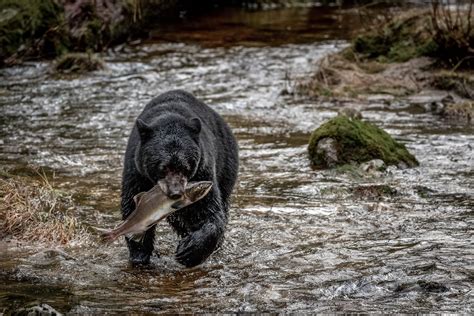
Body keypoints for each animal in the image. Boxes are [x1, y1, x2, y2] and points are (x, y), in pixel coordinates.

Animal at [120, 89, 239, 266]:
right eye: (163, 167)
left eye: (185, 167)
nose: (176, 193)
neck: (168, 118)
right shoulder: (137, 173)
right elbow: (133, 208)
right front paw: (139, 255)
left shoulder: (203, 170)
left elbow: (208, 210)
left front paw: (190, 251)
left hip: (226, 164)